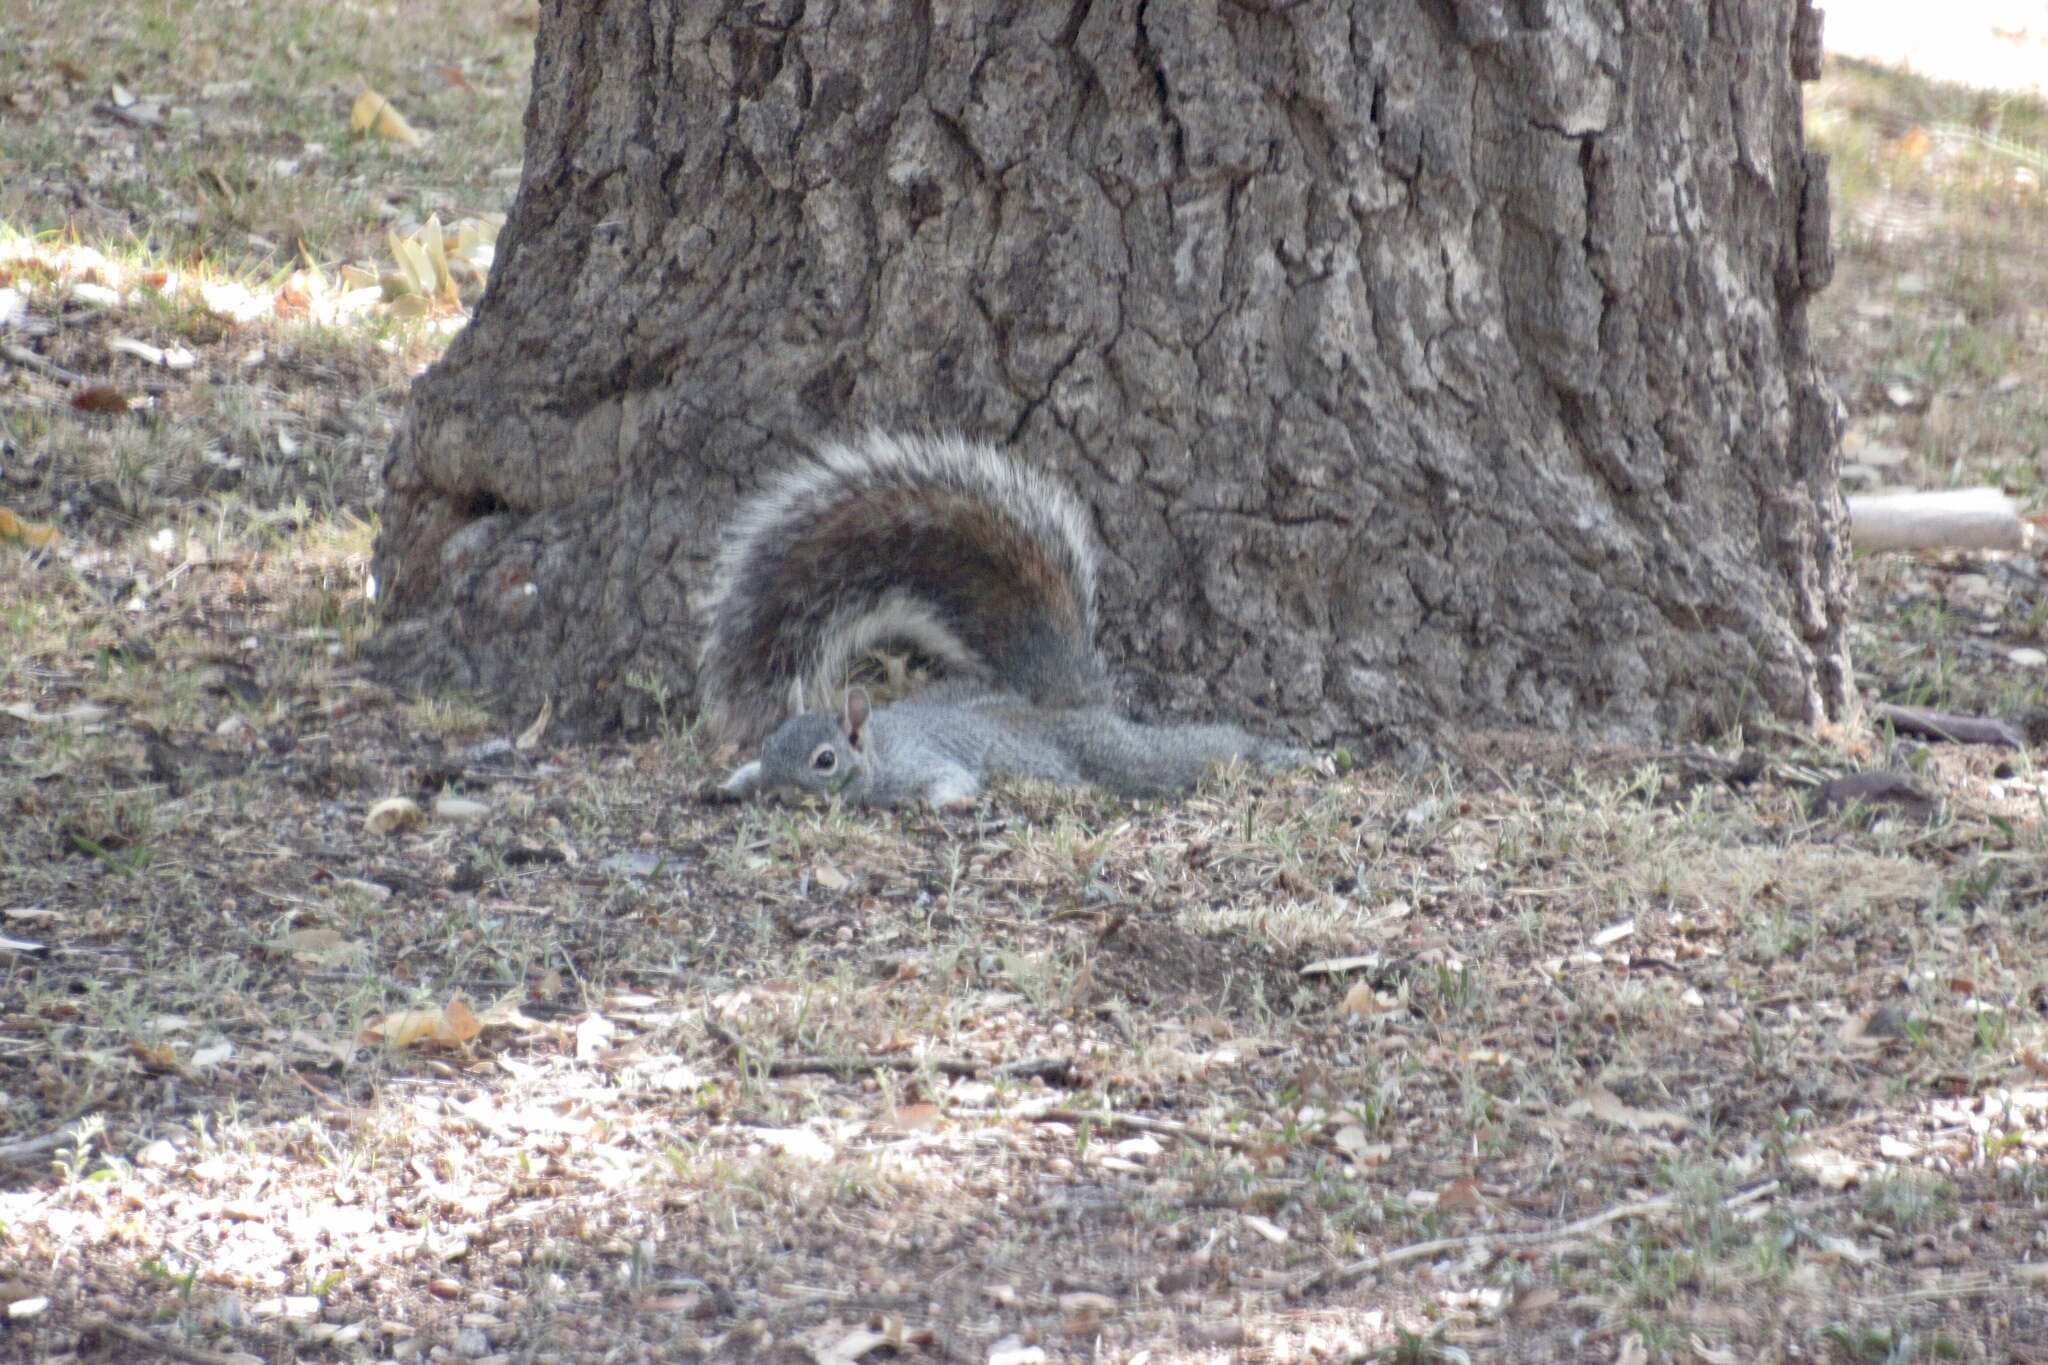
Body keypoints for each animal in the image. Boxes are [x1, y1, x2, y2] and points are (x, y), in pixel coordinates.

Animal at [704, 431, 1310, 806]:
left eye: (824, 761)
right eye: (770, 745)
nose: (778, 789)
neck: (874, 751)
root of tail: (1056, 706)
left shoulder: (919, 763)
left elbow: (950, 781)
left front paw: (948, 803)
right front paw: (732, 782)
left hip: (1117, 752)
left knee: (1190, 750)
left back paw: (1278, 754)